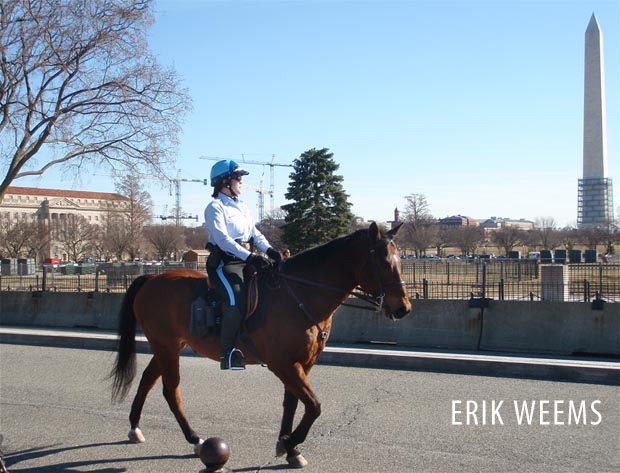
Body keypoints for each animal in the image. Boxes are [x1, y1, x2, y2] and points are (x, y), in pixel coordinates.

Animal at [110, 220, 412, 464]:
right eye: (384, 263)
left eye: (400, 260)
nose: (403, 308)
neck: (299, 293)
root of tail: (153, 278)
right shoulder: (284, 364)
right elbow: (314, 406)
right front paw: (289, 443)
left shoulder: (302, 364)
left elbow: (293, 404)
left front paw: (290, 448)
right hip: (167, 346)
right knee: (171, 391)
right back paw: (194, 439)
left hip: (168, 346)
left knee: (148, 380)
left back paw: (135, 427)